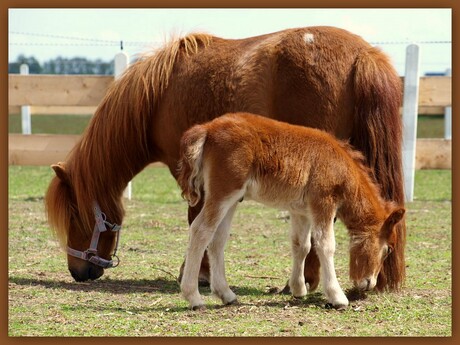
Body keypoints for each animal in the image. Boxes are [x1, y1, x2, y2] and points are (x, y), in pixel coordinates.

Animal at [45, 26, 404, 290]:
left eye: (74, 214)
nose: (78, 271)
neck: (157, 97)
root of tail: (363, 54)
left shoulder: (191, 173)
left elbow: (196, 219)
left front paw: (197, 273)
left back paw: (306, 281)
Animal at [178, 113, 404, 310]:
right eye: (388, 249)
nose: (369, 283)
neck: (339, 167)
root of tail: (207, 128)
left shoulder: (300, 211)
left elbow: (301, 245)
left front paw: (298, 289)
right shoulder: (323, 202)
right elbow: (325, 245)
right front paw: (337, 297)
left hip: (232, 199)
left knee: (218, 238)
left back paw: (226, 294)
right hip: (223, 192)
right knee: (201, 230)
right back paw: (194, 298)